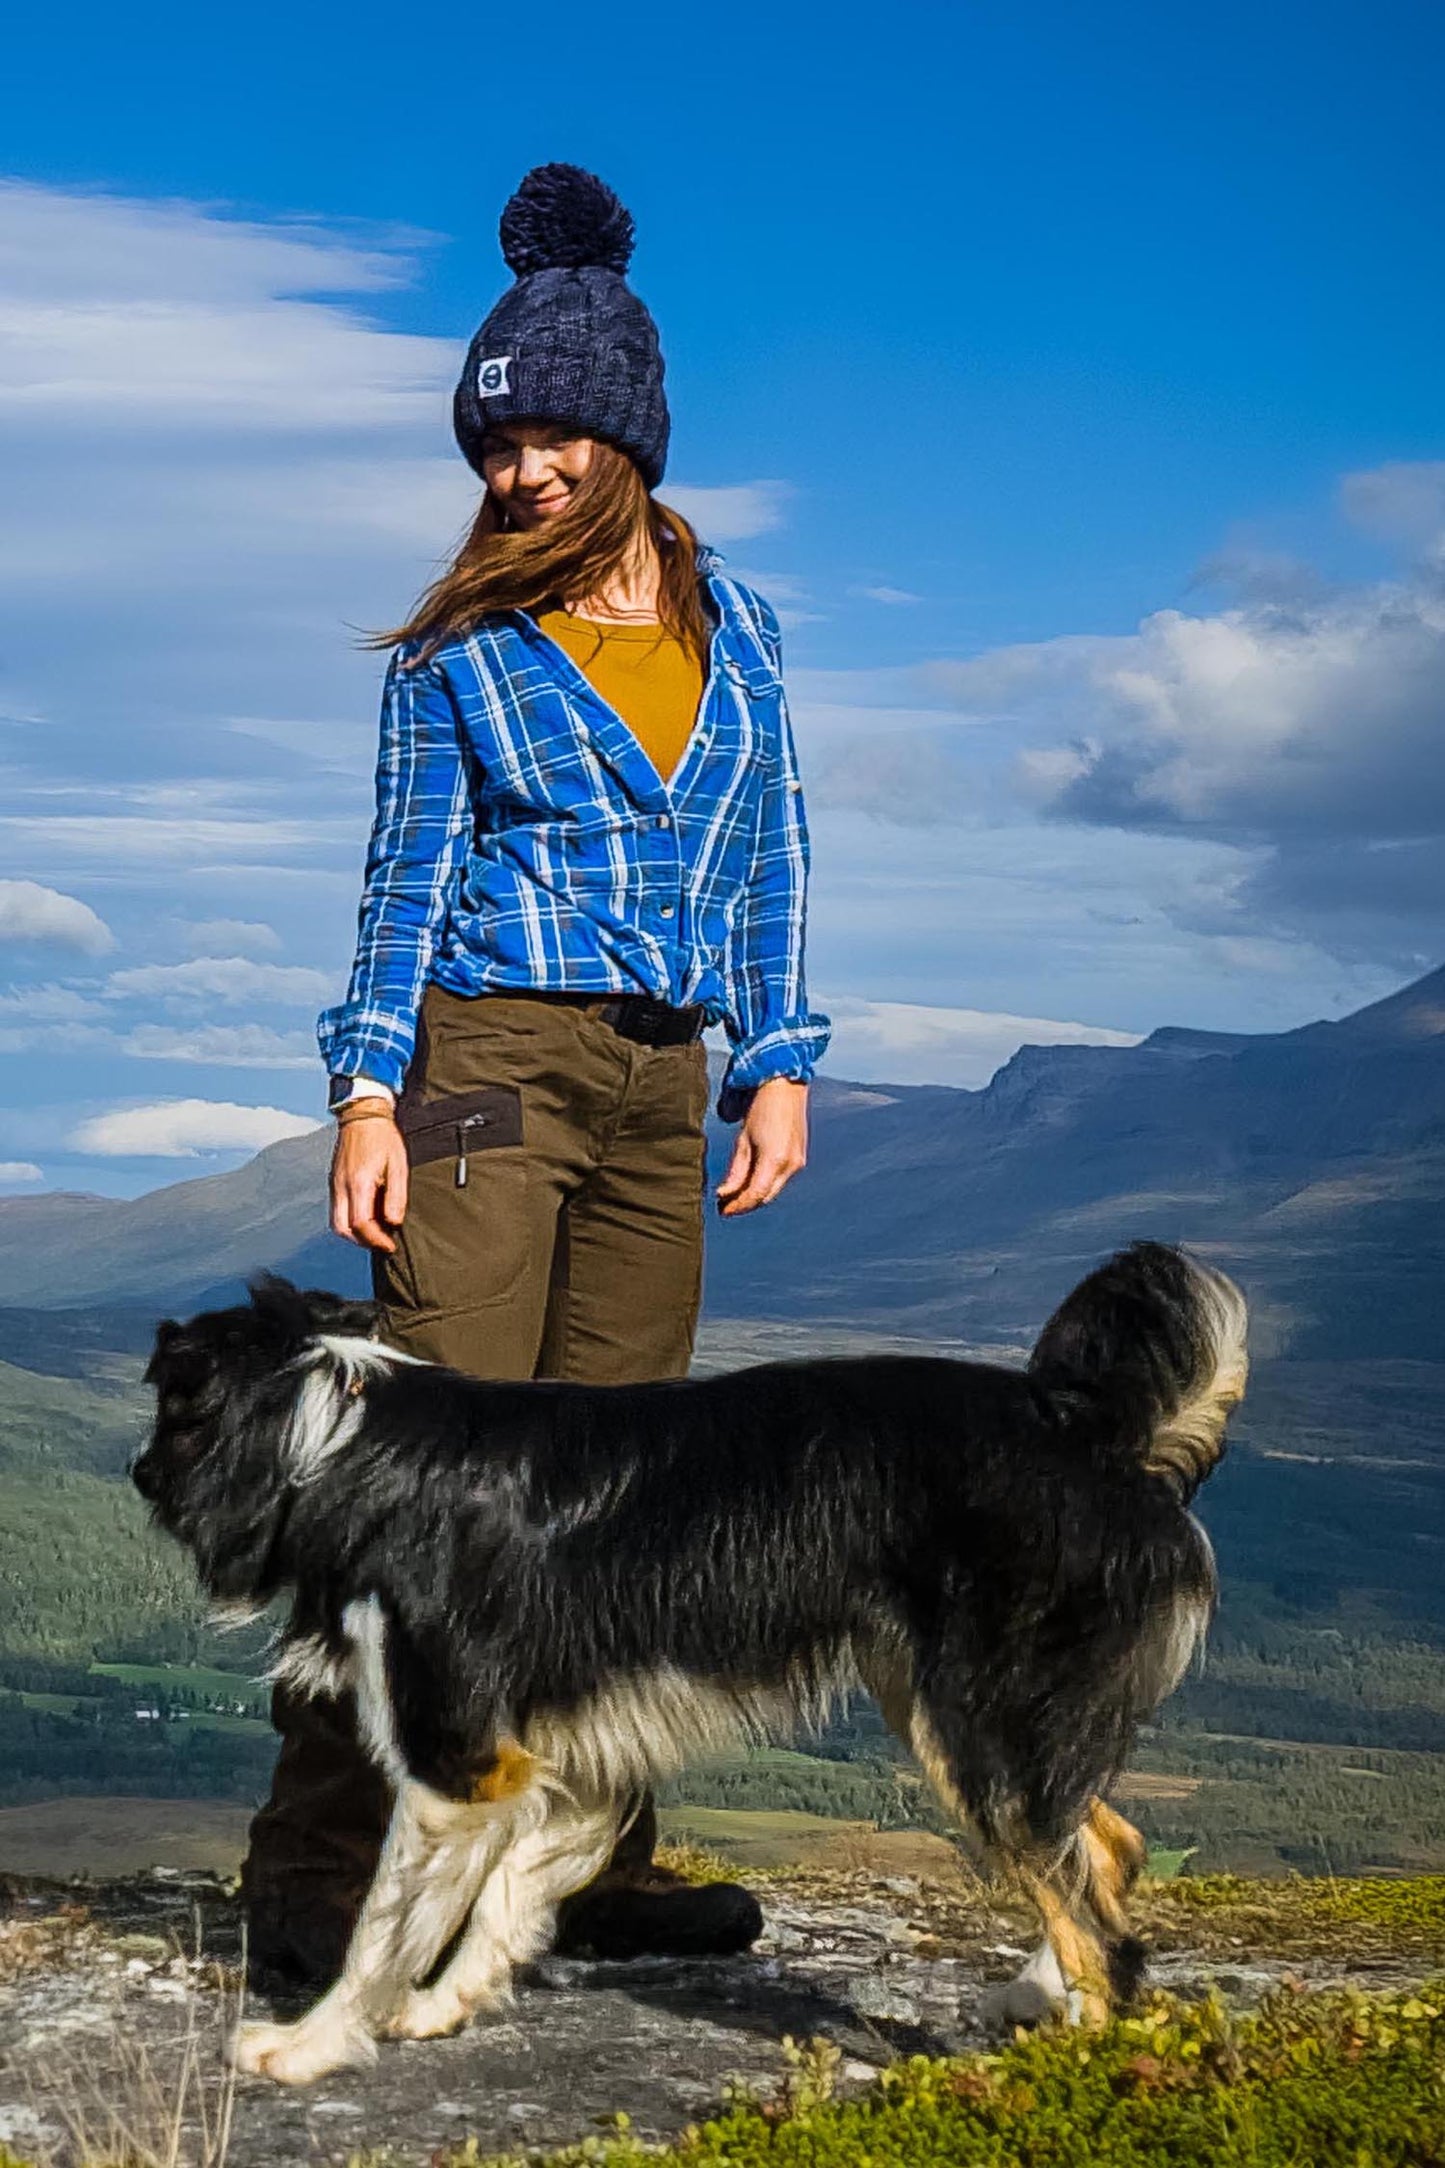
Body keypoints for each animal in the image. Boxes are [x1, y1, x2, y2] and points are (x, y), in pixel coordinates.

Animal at [132, 1248, 1247, 2089]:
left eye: (167, 1415)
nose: (136, 1472)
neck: (340, 1439)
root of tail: (1101, 1439)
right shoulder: (567, 1755)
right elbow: (503, 1899)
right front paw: (442, 2005)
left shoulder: (458, 1761)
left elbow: (387, 1920)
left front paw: (312, 2043)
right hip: (964, 1709)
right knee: (1104, 1847)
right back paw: (1030, 1996)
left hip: (983, 1717)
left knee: (1096, 1918)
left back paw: (1066, 2070)